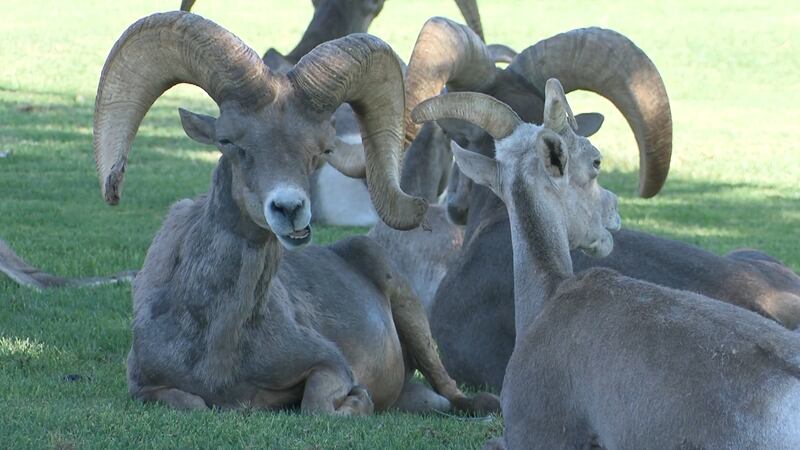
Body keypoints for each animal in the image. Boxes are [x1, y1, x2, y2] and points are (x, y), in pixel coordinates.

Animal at [95, 11, 498, 414]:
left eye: (321, 150)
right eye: (228, 142)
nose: (289, 209)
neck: (218, 343)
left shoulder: (327, 364)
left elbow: (317, 404)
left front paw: (358, 401)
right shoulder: (145, 387)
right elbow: (192, 403)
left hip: (410, 311)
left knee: (454, 393)